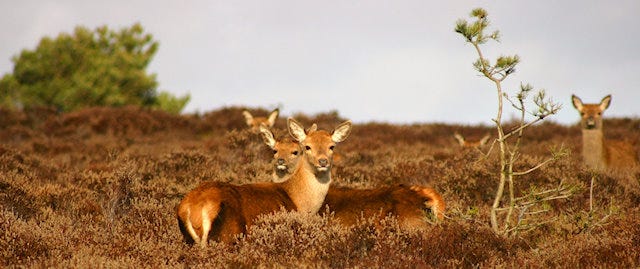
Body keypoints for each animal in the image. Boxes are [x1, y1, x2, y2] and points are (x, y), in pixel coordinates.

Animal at [176, 116, 350, 246]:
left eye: (332, 146)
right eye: (307, 147)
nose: (322, 161)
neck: (298, 201)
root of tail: (192, 210)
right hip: (228, 236)